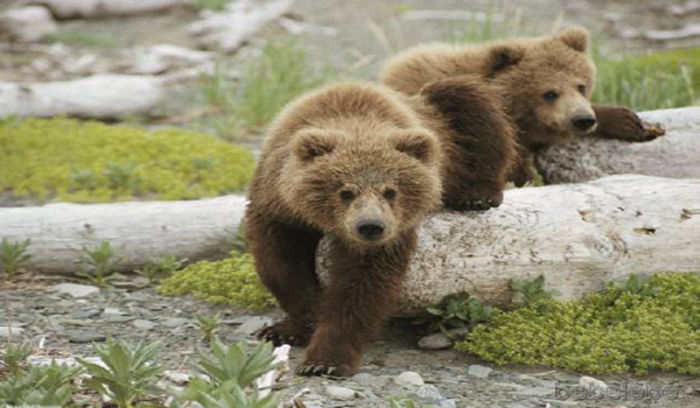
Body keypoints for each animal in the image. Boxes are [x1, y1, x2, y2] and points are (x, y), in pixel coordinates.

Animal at [246, 80, 516, 377]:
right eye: (345, 192)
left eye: (390, 191)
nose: (370, 226)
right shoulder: (277, 203)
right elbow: (281, 265)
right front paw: (296, 323)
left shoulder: (387, 237)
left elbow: (362, 285)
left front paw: (325, 359)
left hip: (443, 129)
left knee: (469, 105)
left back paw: (476, 195)